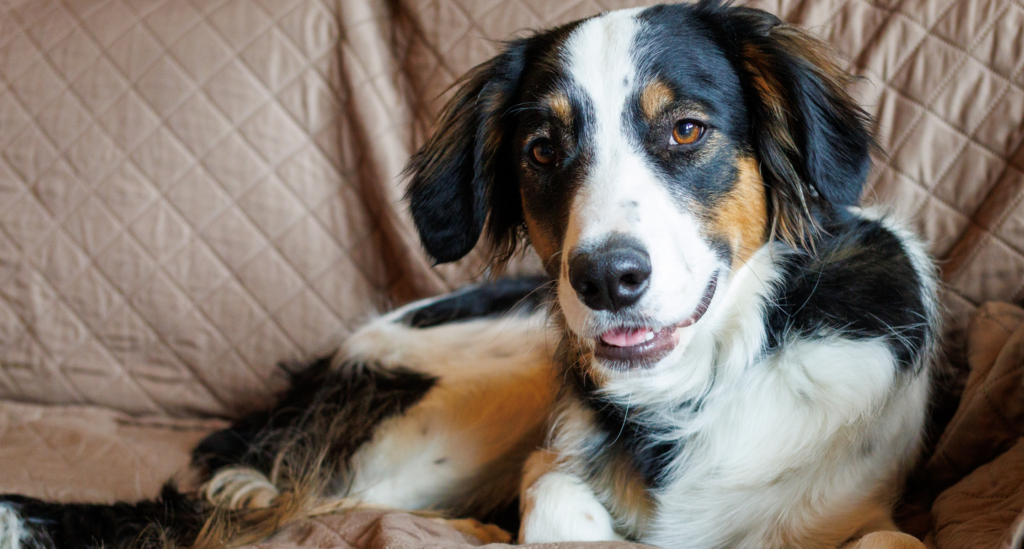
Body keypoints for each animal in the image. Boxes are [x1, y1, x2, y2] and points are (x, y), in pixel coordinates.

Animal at [0, 1, 937, 549]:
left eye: (686, 129)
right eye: (542, 149)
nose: (606, 279)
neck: (698, 386)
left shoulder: (860, 511)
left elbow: (891, 538)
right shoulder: (551, 456)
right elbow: (554, 500)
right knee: (261, 509)